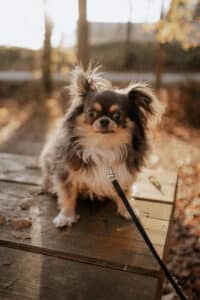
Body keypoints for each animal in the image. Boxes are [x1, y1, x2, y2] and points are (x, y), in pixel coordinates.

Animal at [39, 64, 163, 226]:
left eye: (117, 116)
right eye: (92, 113)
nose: (104, 120)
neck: (103, 146)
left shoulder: (124, 175)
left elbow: (124, 193)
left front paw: (126, 210)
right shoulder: (66, 171)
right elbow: (68, 195)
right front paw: (66, 216)